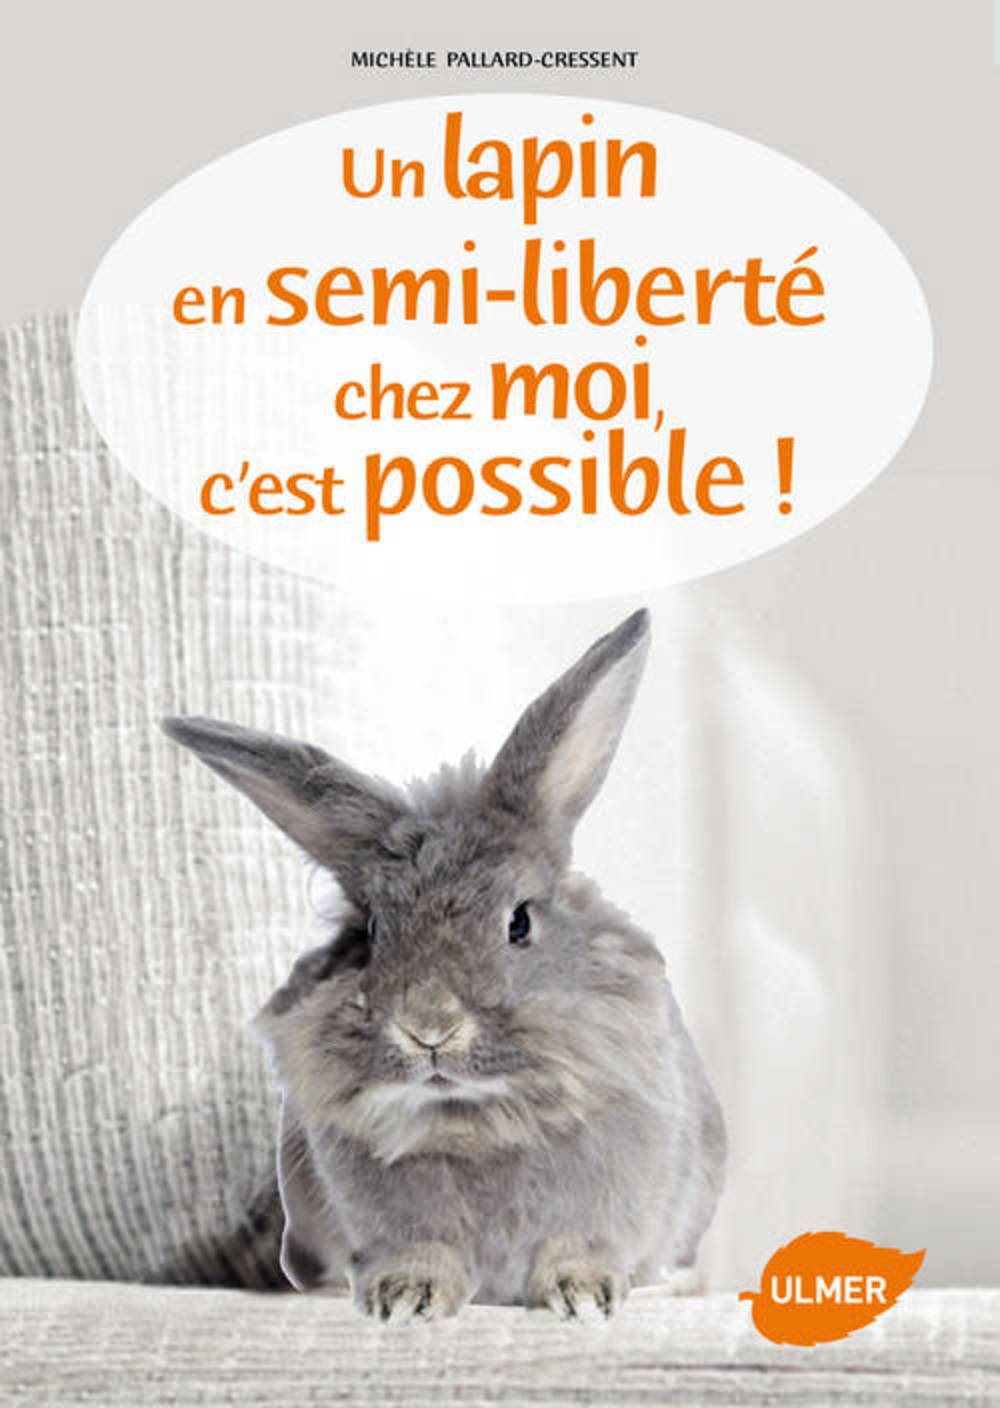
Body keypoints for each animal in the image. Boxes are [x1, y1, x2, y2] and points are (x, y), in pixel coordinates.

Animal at [161, 609, 726, 1321]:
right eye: (372, 932)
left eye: (519, 922)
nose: (429, 1027)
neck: (474, 1118)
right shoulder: (390, 1223)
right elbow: (419, 1251)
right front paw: (405, 1299)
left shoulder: (607, 1209)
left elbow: (576, 1247)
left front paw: (584, 1296)